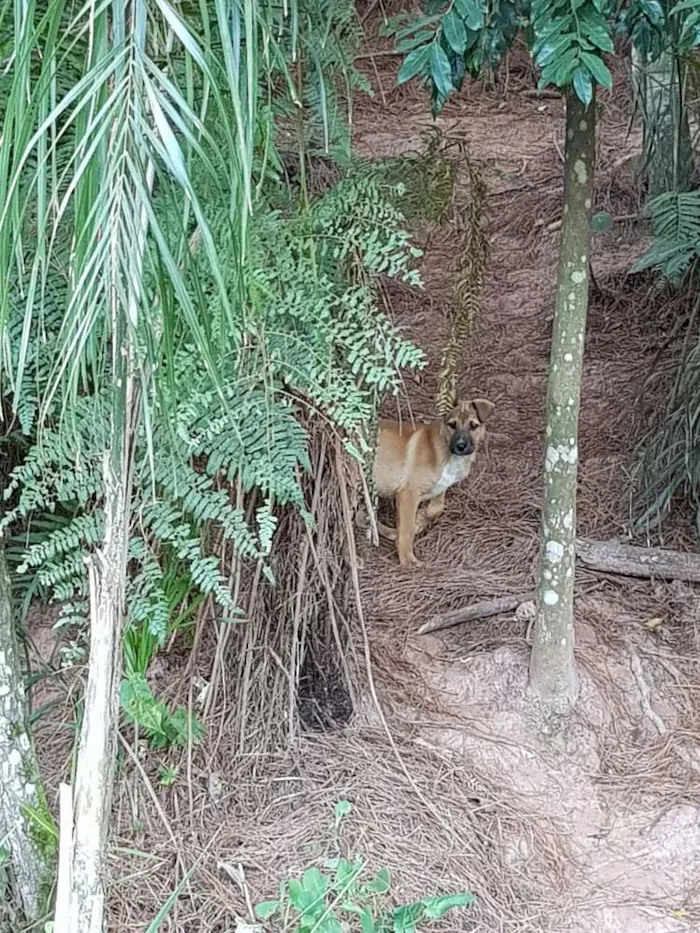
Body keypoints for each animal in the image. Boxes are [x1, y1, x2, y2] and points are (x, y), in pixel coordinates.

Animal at [364, 396, 494, 564]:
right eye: (452, 425)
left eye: (474, 426)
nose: (460, 446)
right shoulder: (408, 493)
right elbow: (407, 530)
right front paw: (408, 560)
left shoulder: (441, 486)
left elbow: (437, 508)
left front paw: (419, 520)